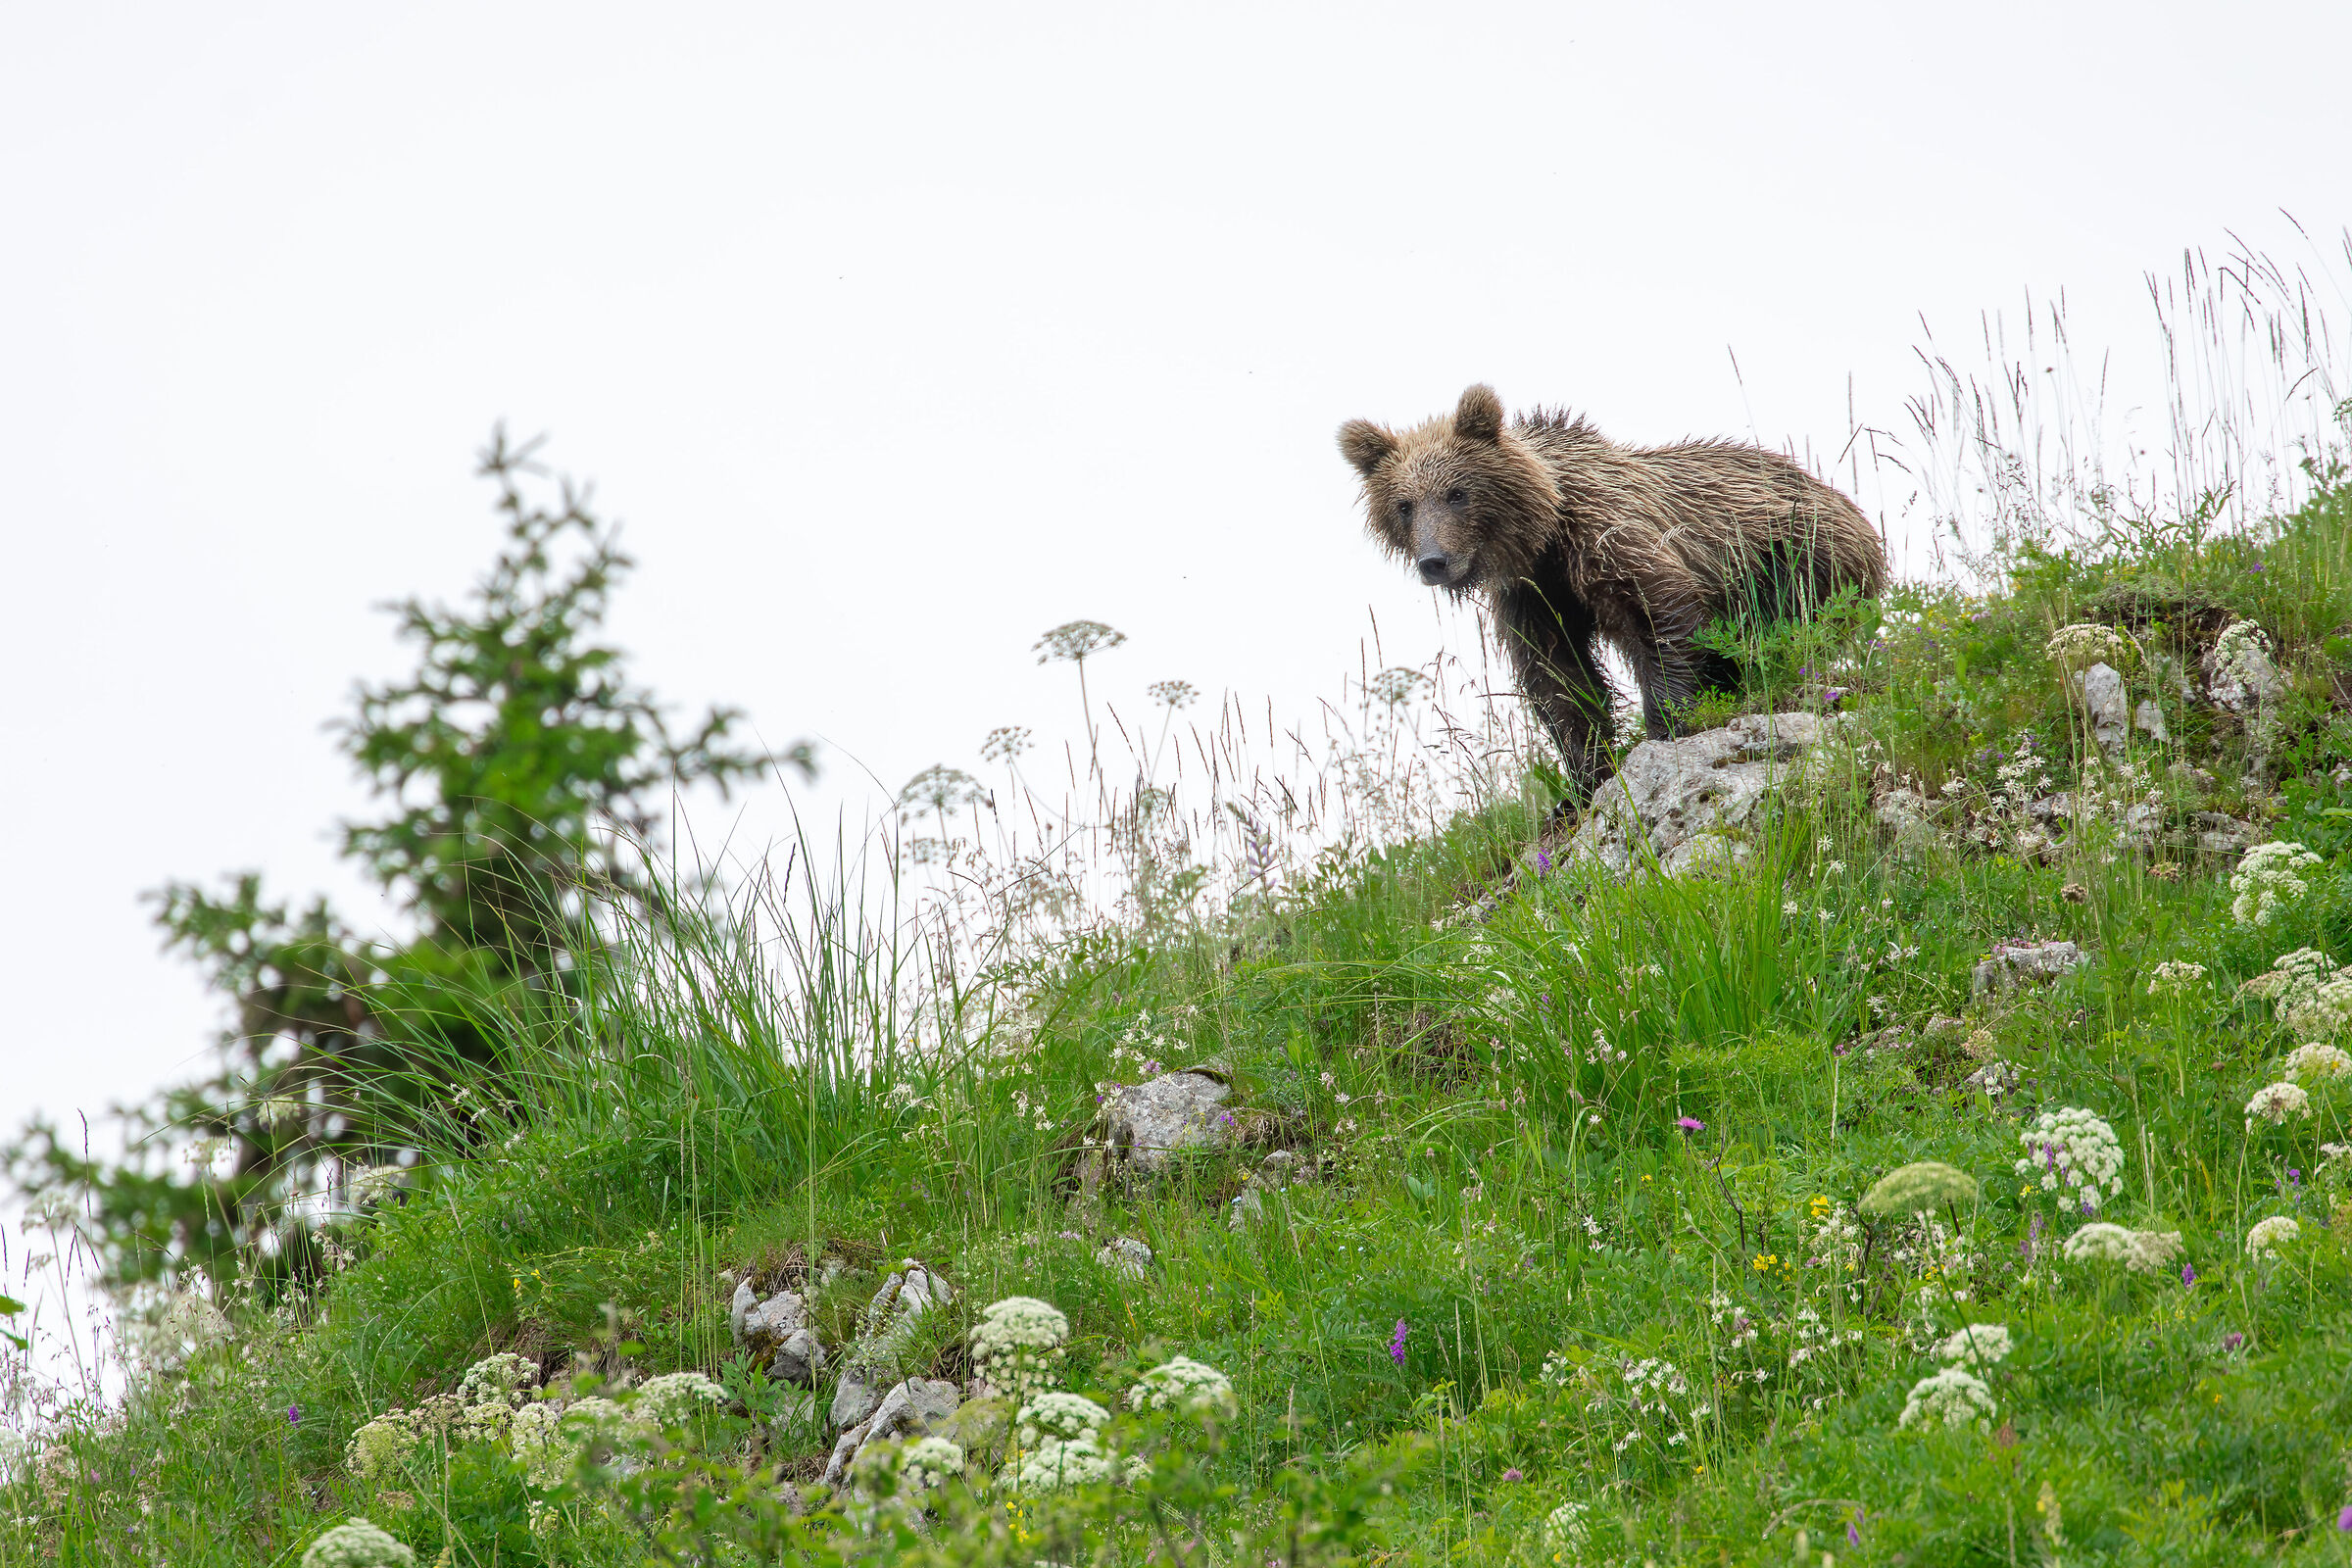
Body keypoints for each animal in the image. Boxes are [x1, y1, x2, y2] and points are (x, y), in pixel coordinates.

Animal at [1339, 384, 1886, 799]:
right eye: (1405, 504)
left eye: (1457, 493)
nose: (1434, 561)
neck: (1544, 533)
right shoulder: (1535, 595)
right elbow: (1557, 676)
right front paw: (1585, 775)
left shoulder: (1609, 537)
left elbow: (1661, 614)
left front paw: (1667, 725)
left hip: (1797, 554)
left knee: (1783, 629)